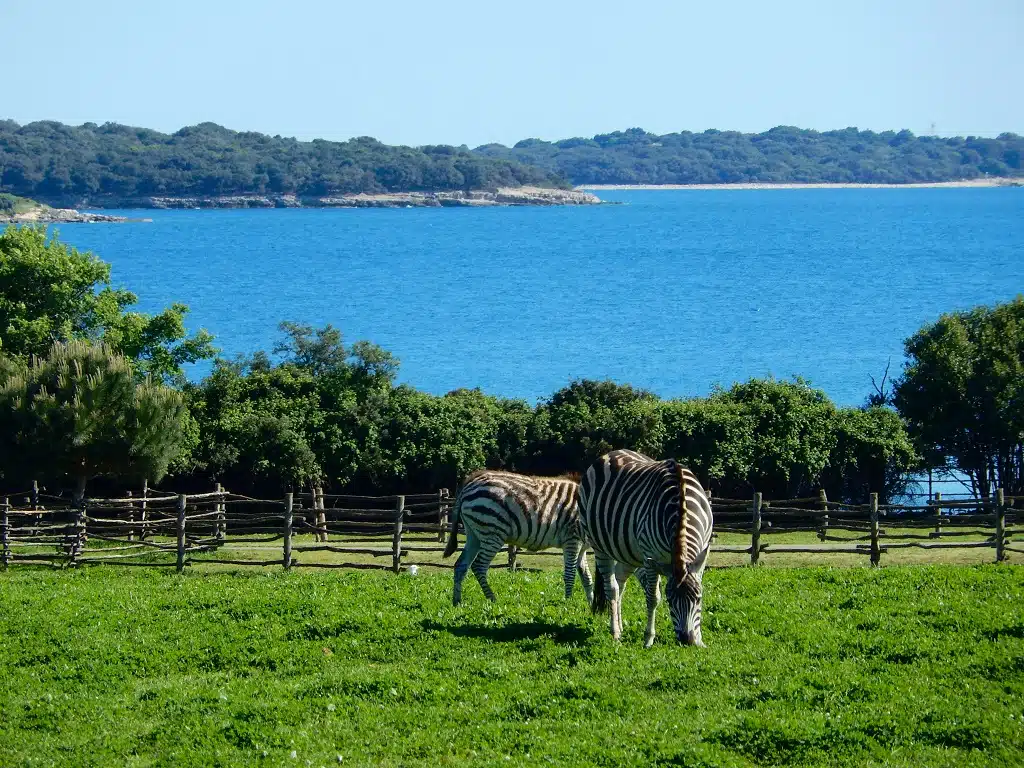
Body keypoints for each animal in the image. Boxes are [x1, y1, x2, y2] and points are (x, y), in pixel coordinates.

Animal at [440, 468, 593, 606]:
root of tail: (470, 482)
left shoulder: (581, 547)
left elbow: (587, 577)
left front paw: (592, 607)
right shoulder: (572, 540)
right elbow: (570, 574)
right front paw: (568, 603)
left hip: (474, 534)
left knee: (461, 566)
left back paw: (457, 602)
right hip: (492, 532)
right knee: (478, 566)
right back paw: (493, 599)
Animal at [581, 448, 716, 647]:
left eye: (698, 598)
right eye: (670, 601)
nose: (687, 640)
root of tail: (611, 453)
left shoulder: (702, 550)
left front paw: (700, 639)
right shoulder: (652, 556)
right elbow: (653, 598)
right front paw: (648, 638)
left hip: (628, 552)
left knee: (620, 583)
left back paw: (620, 627)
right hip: (600, 546)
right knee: (612, 588)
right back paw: (615, 633)